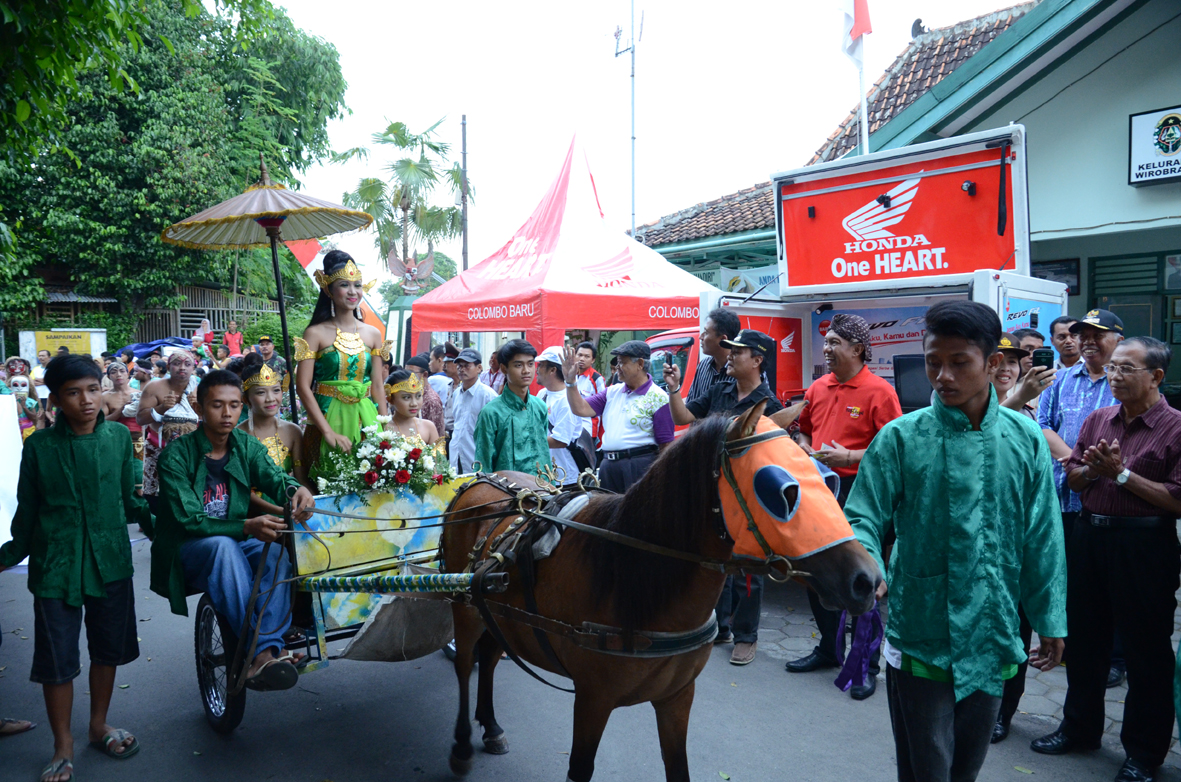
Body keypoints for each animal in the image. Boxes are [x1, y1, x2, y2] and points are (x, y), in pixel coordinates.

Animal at [439, 403, 883, 782]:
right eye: (784, 493)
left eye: (828, 480)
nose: (867, 580)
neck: (630, 575)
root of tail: (476, 481)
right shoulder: (592, 698)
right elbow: (580, 769)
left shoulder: (677, 697)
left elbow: (677, 767)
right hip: (464, 608)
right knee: (464, 663)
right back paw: (460, 744)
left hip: (494, 612)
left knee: (489, 657)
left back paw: (491, 725)